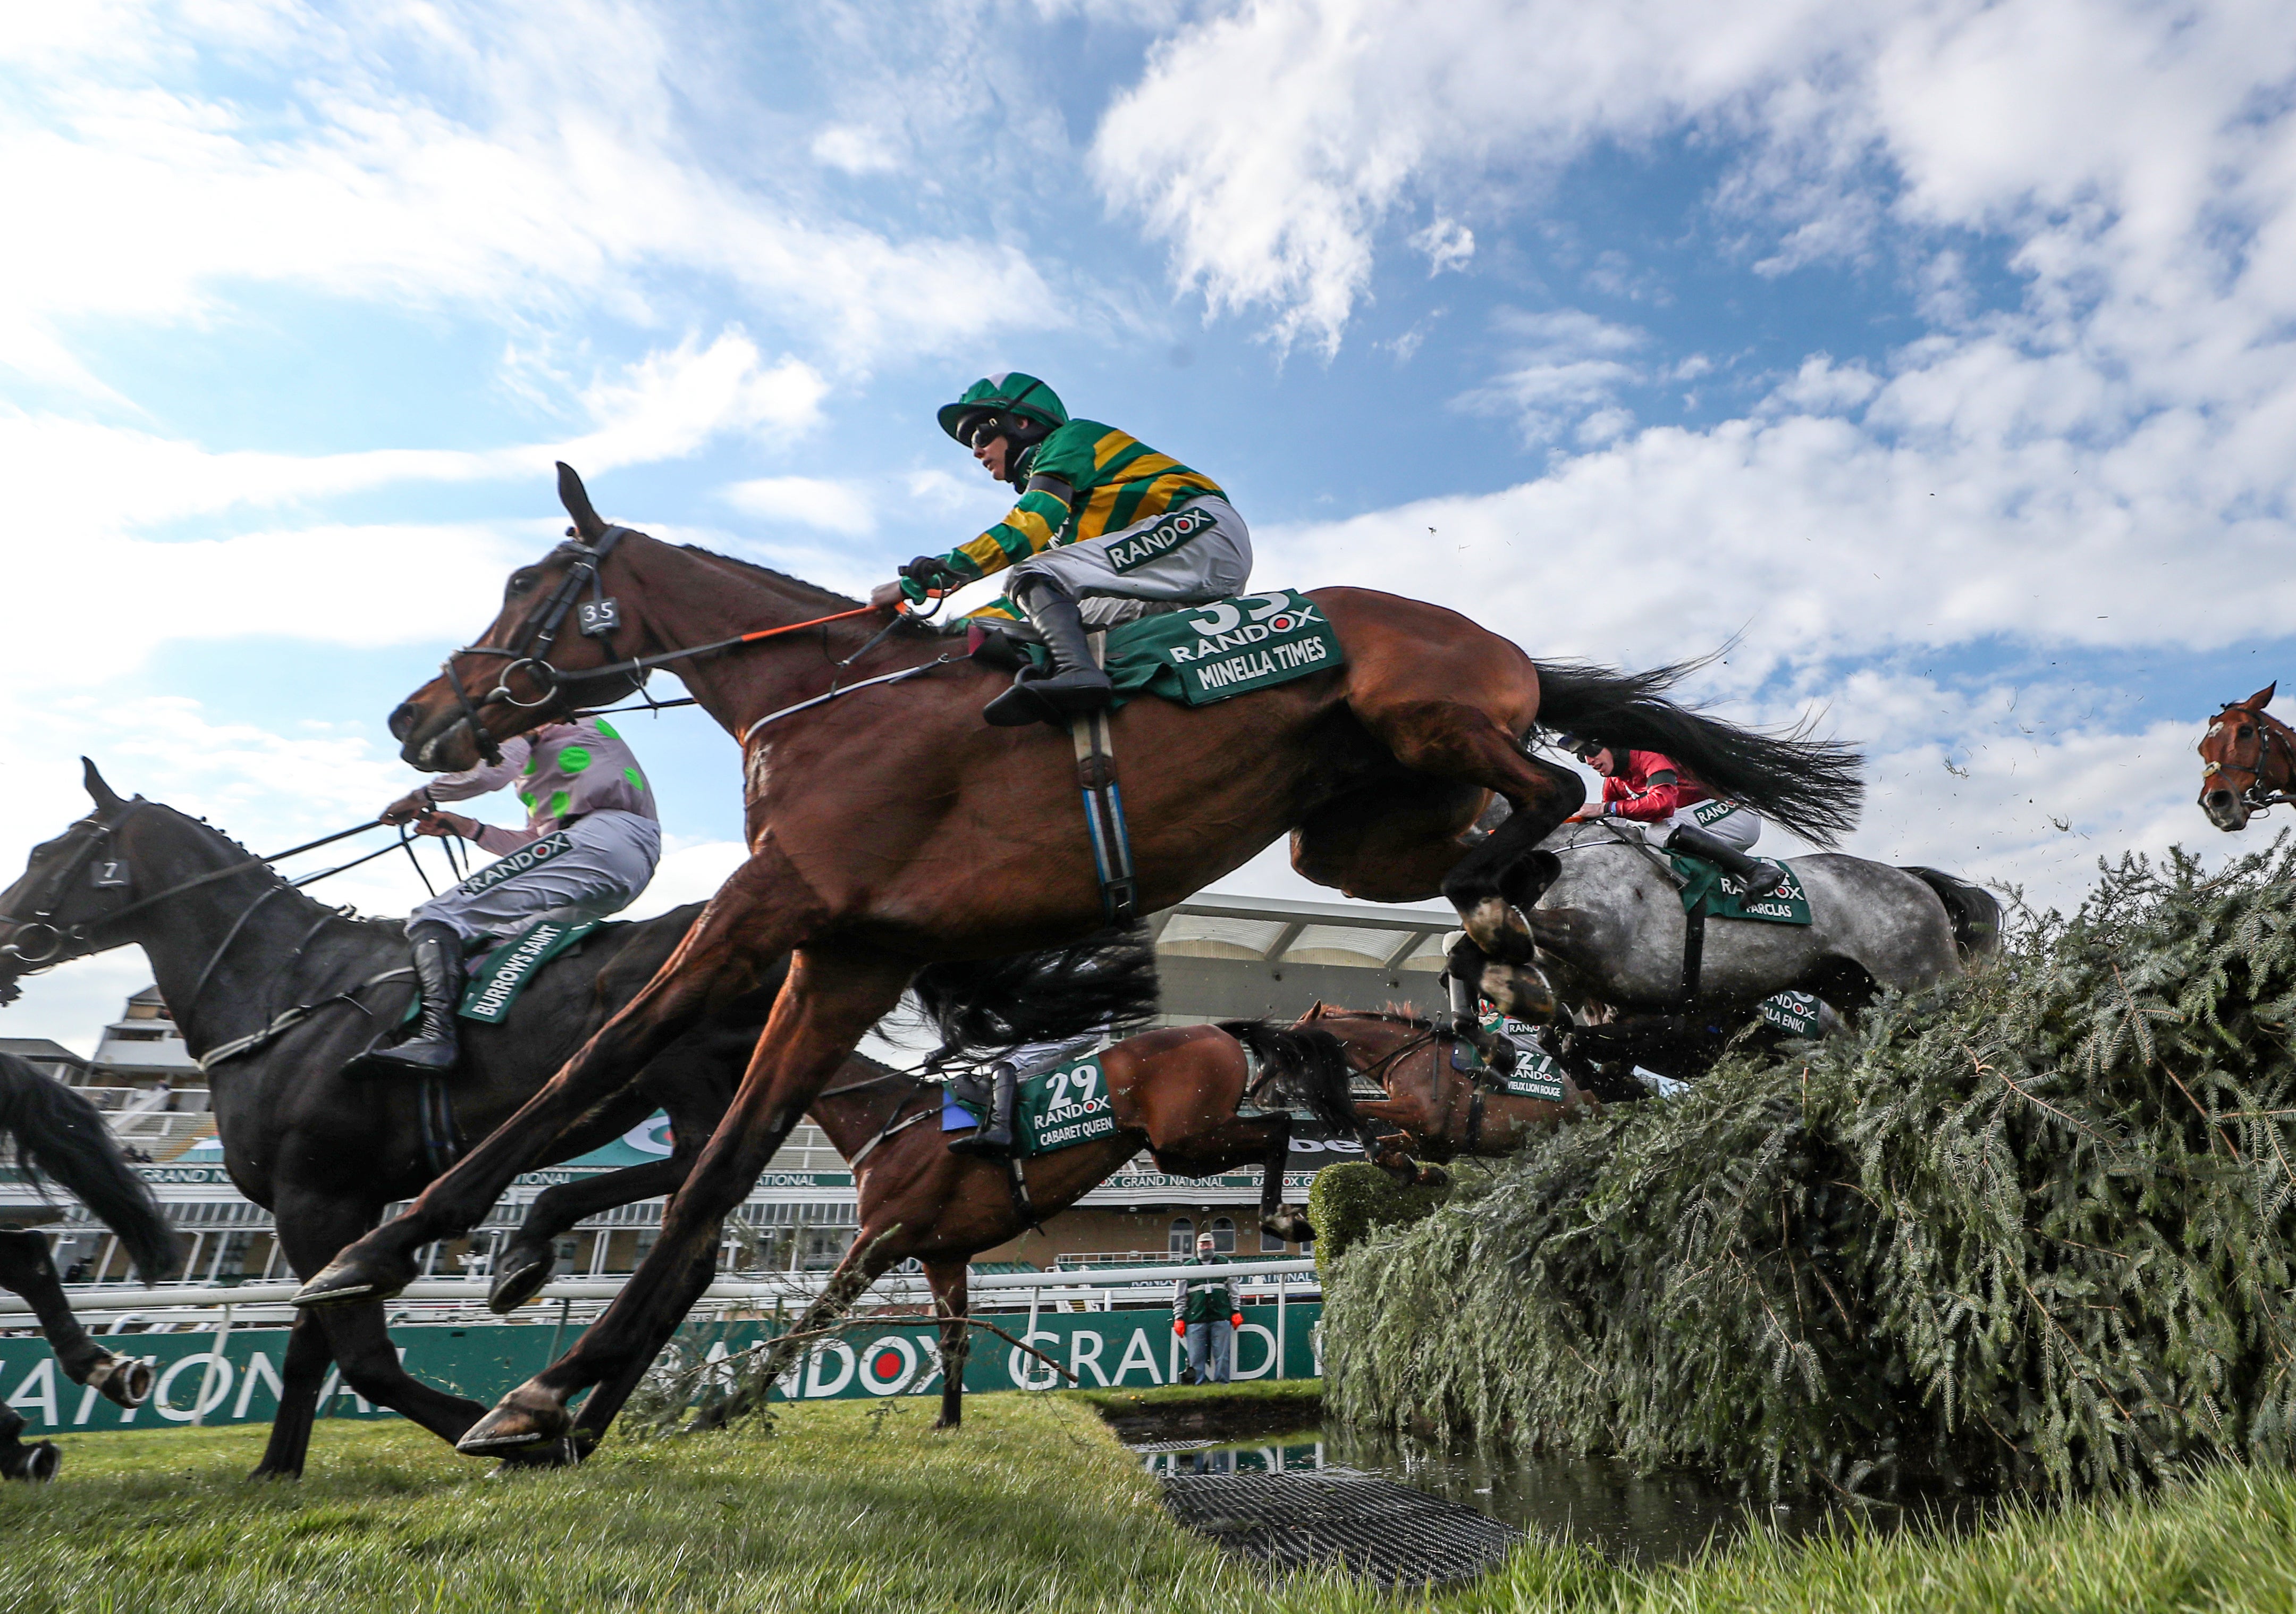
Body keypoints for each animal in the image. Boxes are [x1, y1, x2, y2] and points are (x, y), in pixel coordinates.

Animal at [296, 461, 1864, 1460]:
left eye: (528, 582)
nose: (416, 714)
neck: (825, 698)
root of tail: (1504, 641)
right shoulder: (845, 952)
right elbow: (716, 1172)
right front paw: (557, 1389)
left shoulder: (768, 910)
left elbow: (592, 1070)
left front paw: (392, 1252)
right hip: (1358, 834)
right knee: (1518, 841)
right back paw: (1550, 977)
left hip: (1427, 720)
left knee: (1554, 795)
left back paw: (1557, 970)